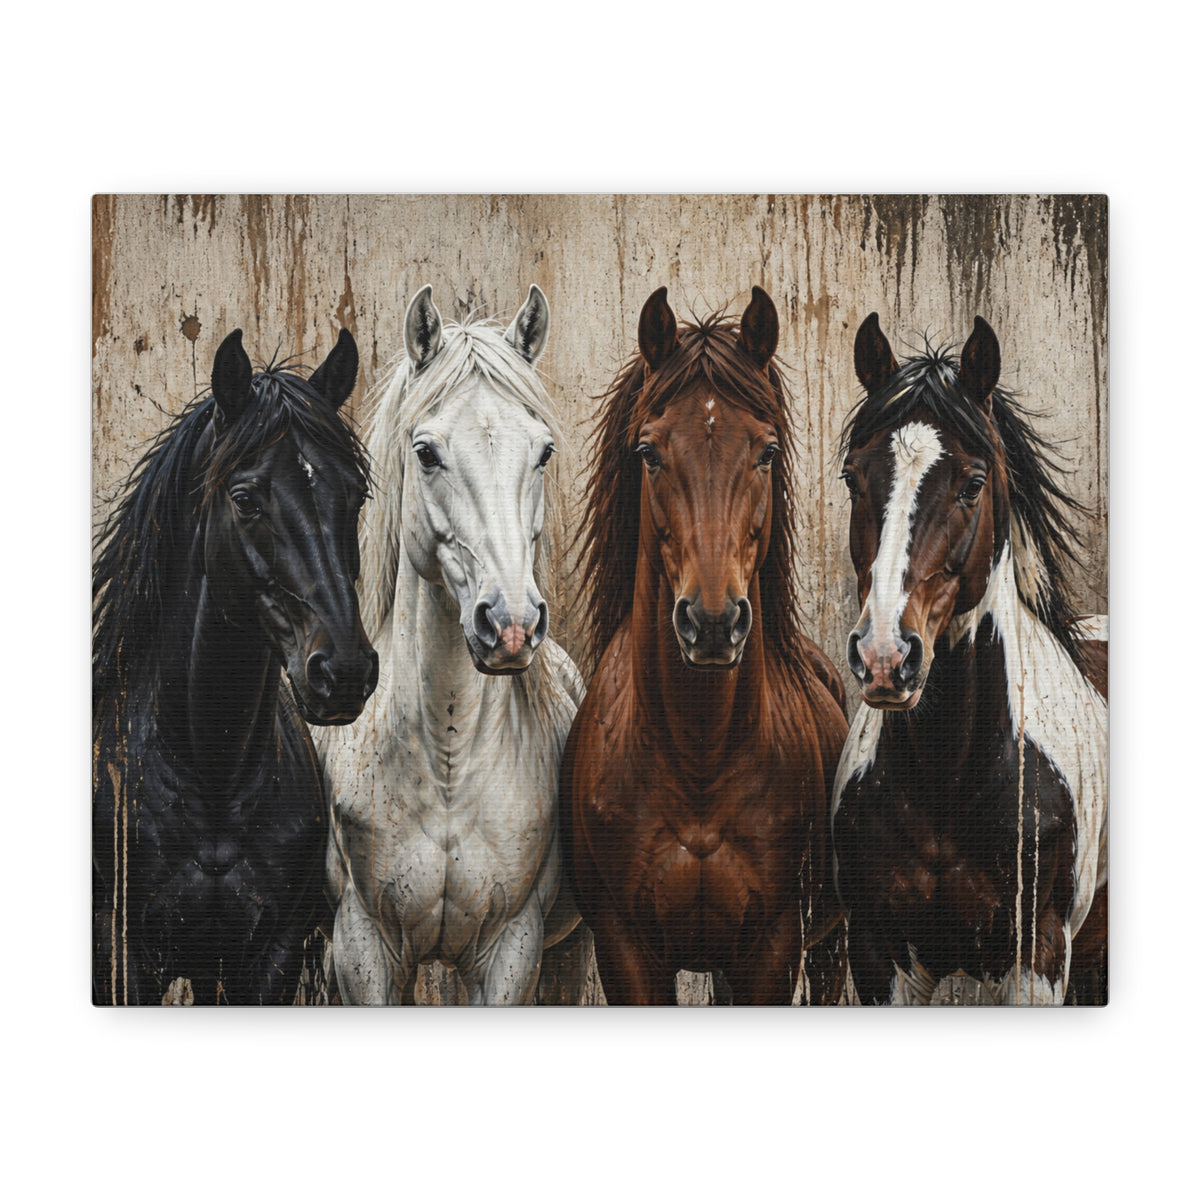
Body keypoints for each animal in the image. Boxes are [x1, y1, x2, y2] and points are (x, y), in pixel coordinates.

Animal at [93, 326, 379, 1005]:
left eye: (355, 495)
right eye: (246, 499)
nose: (344, 673)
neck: (212, 780)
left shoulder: (269, 958)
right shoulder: (122, 957)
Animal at [319, 284, 585, 1005]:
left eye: (543, 452)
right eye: (426, 453)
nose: (511, 624)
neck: (446, 764)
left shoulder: (510, 951)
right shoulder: (364, 948)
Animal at [561, 286, 850, 1005]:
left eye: (767, 451)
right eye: (648, 452)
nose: (713, 622)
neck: (699, 757)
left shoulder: (773, 950)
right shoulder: (626, 953)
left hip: (828, 947)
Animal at [832, 313, 1108, 1005]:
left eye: (972, 485)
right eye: (853, 476)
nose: (885, 656)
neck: (947, 779)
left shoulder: (1037, 958)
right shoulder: (878, 957)